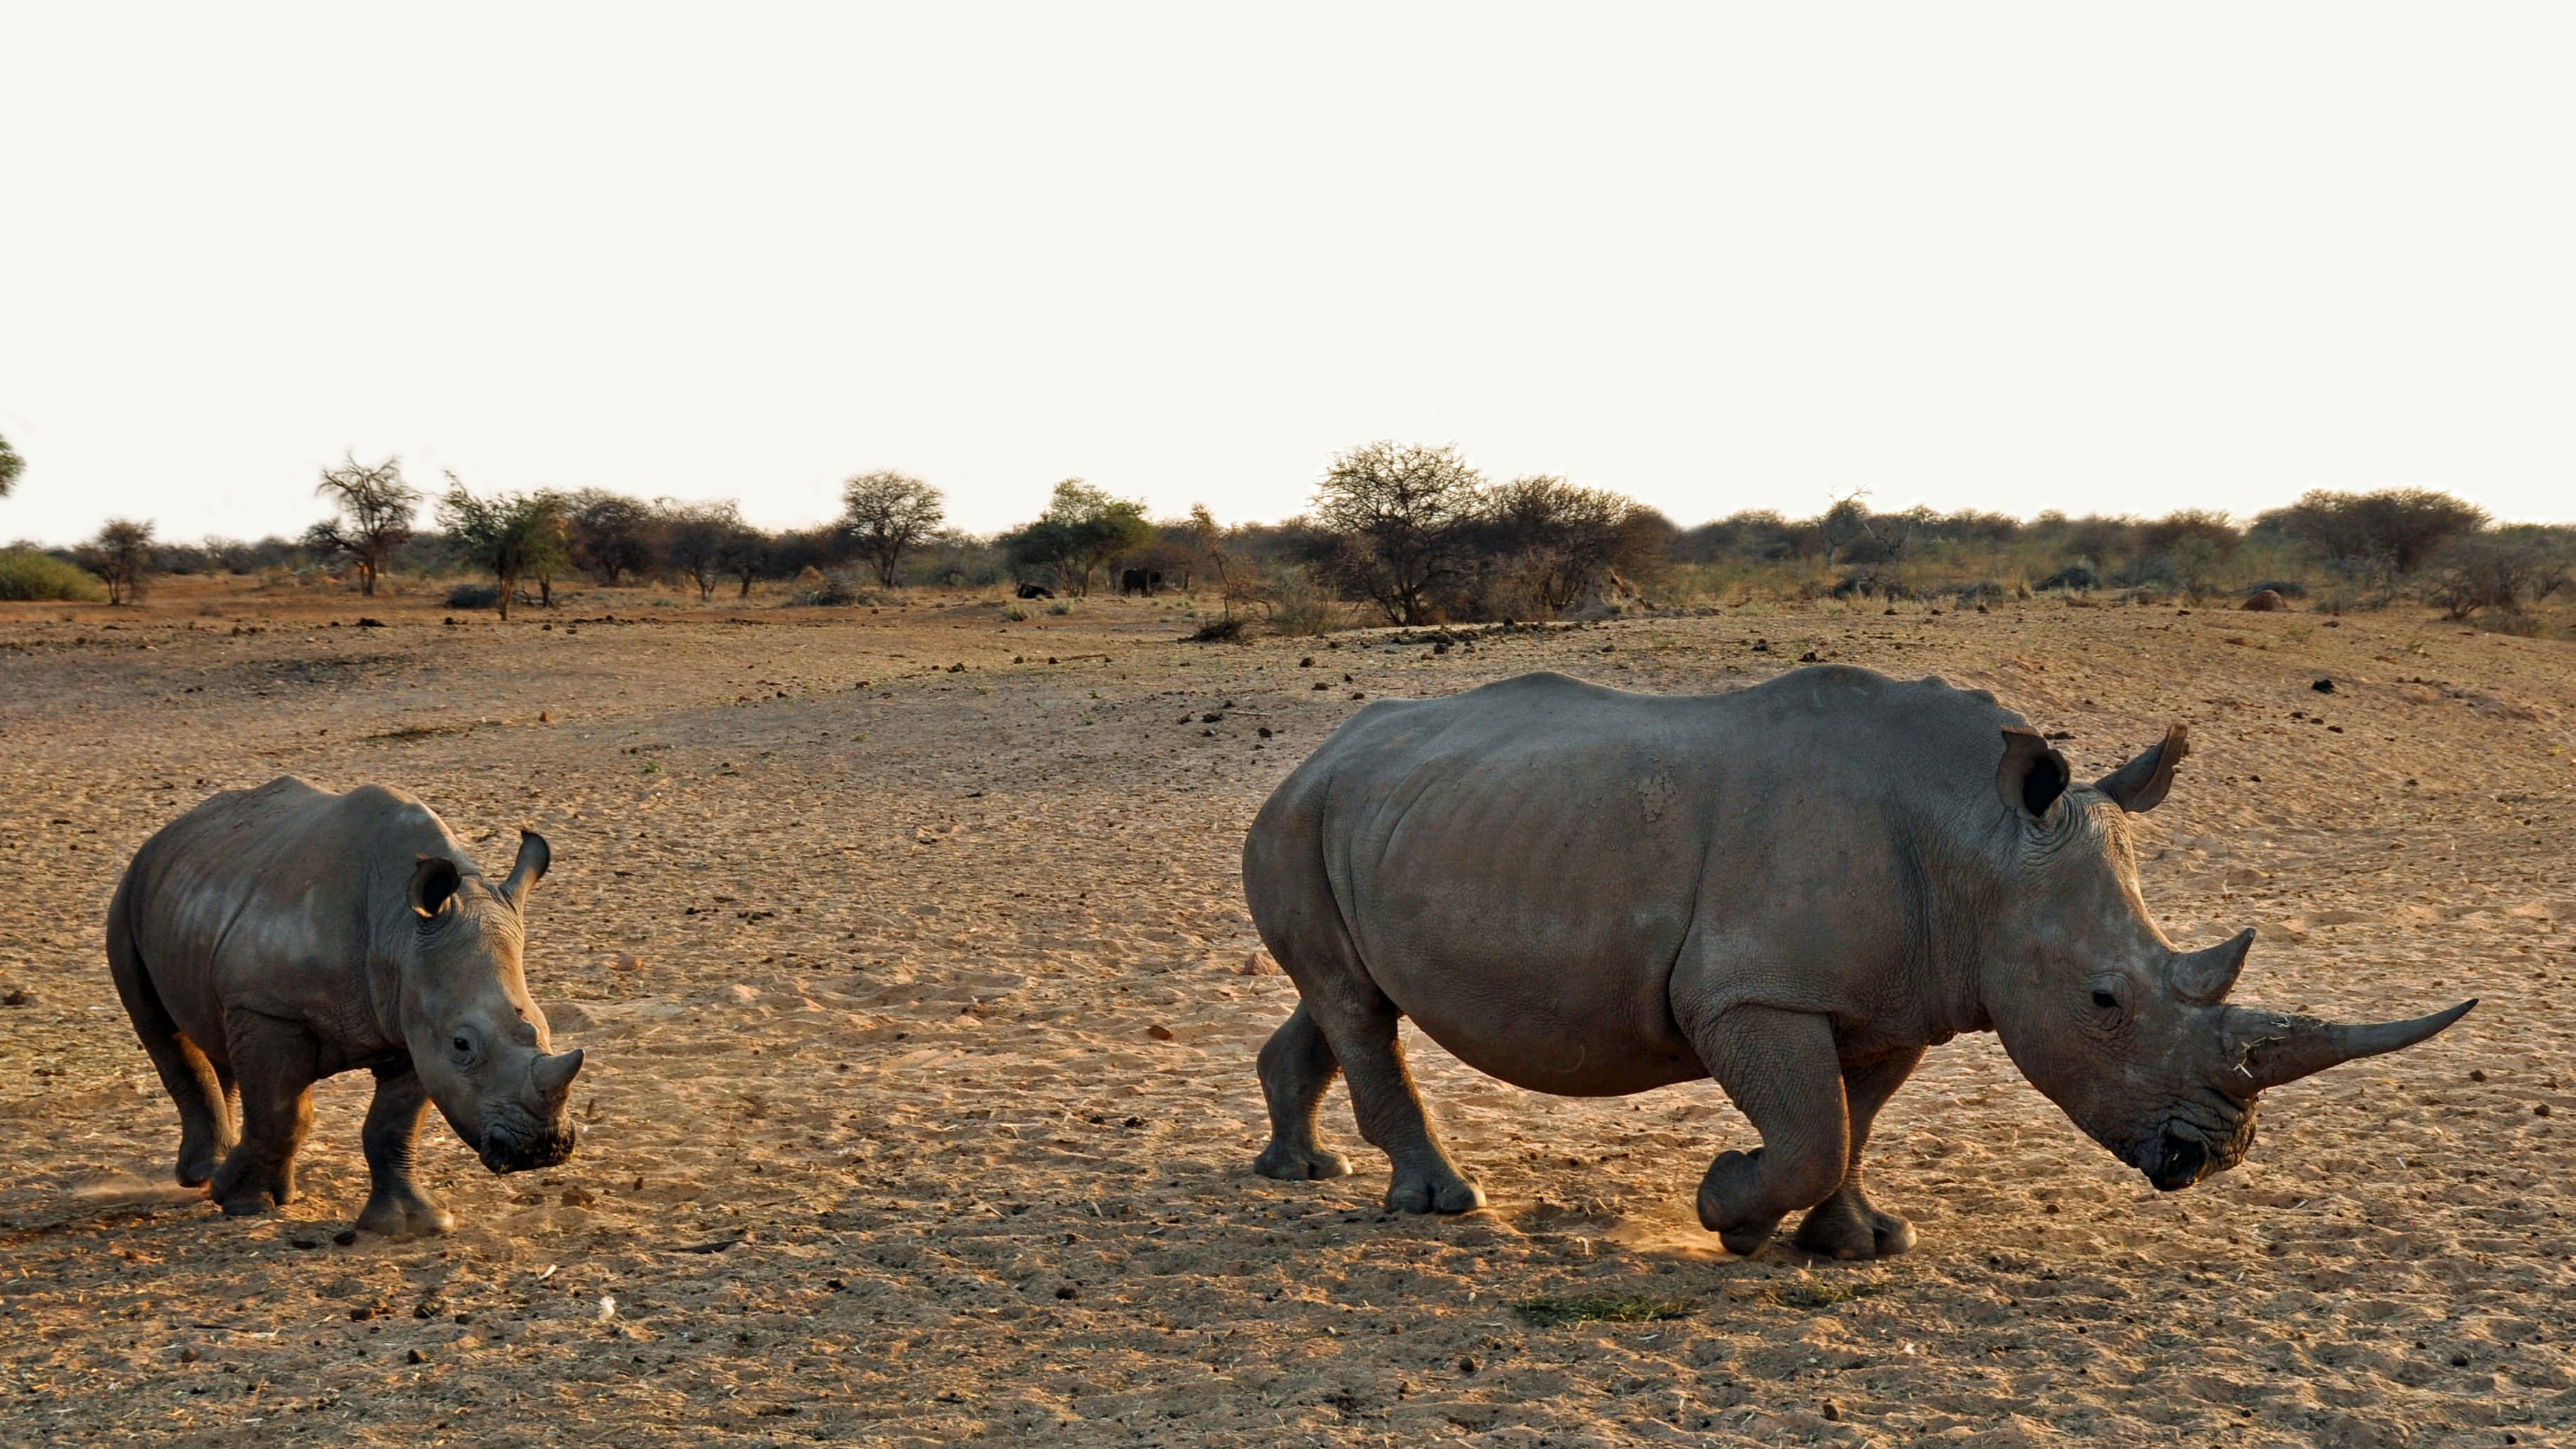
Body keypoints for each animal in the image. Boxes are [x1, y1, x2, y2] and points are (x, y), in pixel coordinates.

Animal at [107, 777, 584, 1236]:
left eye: (542, 1029)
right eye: (462, 1045)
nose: (542, 1147)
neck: (399, 930)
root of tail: (168, 833)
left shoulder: (414, 1020)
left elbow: (394, 1125)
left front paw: (411, 1225)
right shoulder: (268, 1008)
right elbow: (283, 1113)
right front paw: (243, 1203)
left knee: (211, 1027)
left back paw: (215, 1167)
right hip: (131, 890)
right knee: (160, 1028)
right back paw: (205, 1176)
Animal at [1242, 668, 2473, 1258]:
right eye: (2102, 999)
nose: (2209, 1157)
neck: (1975, 839)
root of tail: (1322, 748)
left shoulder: (1900, 996)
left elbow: (1852, 1119)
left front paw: (1858, 1243)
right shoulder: (1752, 990)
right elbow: (1810, 1126)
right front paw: (1725, 1210)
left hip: (1376, 812)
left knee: (1342, 994)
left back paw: (1297, 1172)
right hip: (1299, 811)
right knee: (1354, 1002)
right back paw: (1440, 1204)